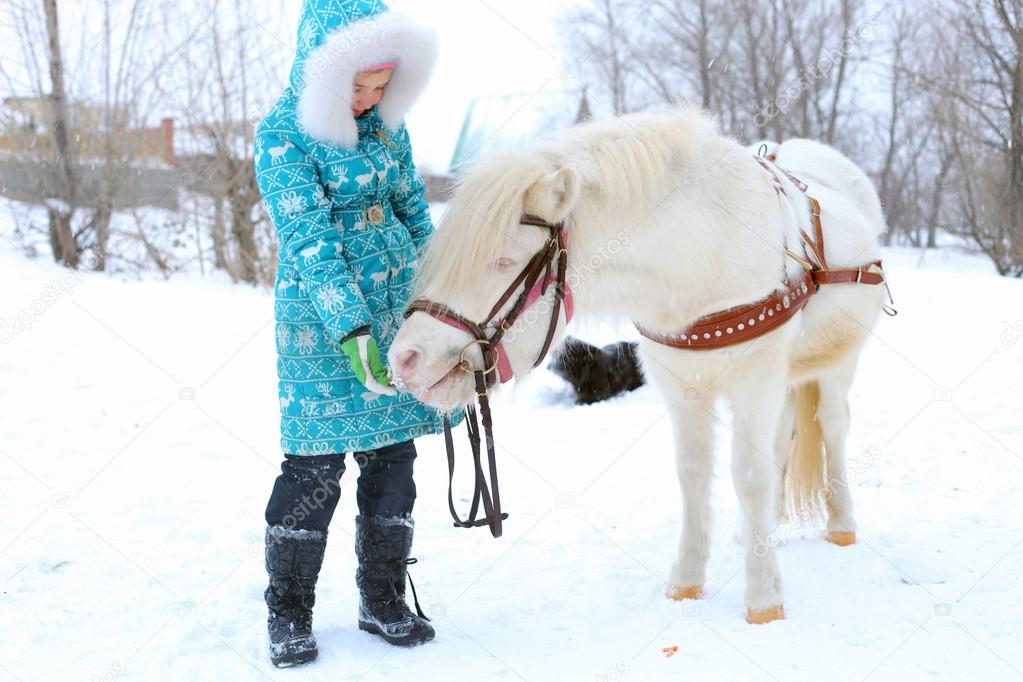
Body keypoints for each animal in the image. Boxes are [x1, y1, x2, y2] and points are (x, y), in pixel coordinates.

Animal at [386, 106, 883, 625]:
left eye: (503, 261)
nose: (405, 358)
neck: (701, 258)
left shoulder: (757, 378)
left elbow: (750, 477)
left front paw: (764, 599)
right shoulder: (683, 385)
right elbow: (693, 474)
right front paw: (688, 581)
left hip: (838, 361)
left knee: (832, 426)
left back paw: (841, 524)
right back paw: (768, 527)